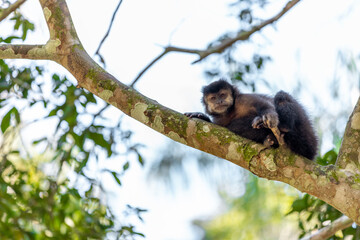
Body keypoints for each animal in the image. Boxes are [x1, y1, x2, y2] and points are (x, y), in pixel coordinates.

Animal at [186, 79, 318, 160]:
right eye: (213, 98)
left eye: (223, 95)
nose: (219, 101)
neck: (231, 112)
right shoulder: (220, 120)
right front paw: (201, 116)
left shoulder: (243, 99)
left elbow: (264, 105)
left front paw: (269, 116)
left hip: (305, 134)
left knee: (281, 95)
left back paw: (283, 126)